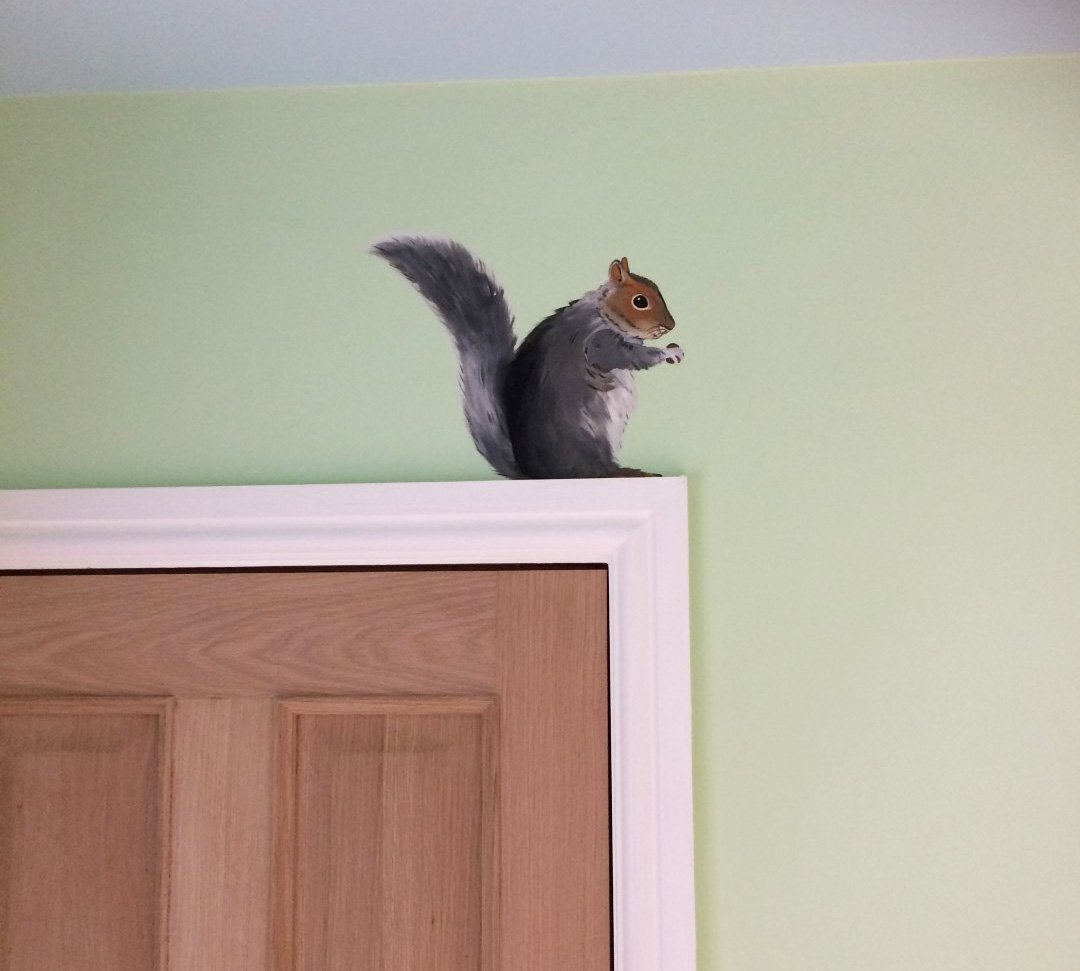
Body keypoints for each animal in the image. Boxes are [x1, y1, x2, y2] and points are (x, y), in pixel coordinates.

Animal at [371, 235, 684, 479]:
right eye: (640, 301)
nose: (670, 326)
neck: (603, 311)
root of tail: (536, 473)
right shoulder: (597, 343)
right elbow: (625, 356)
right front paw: (667, 352)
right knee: (593, 471)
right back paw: (624, 471)